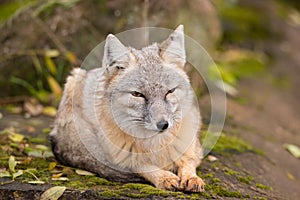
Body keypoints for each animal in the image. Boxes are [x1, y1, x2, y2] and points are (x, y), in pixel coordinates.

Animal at [49, 25, 205, 192]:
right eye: (137, 94)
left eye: (170, 91)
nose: (163, 125)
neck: (156, 143)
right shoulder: (123, 159)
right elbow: (143, 165)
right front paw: (164, 177)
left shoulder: (194, 150)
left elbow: (188, 162)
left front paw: (191, 178)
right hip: (73, 79)